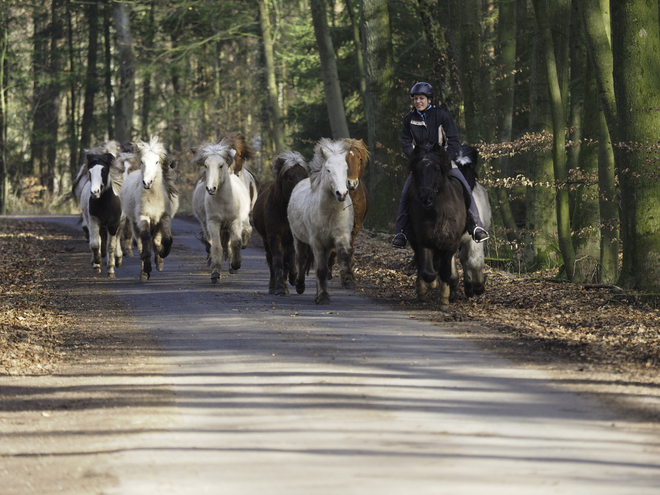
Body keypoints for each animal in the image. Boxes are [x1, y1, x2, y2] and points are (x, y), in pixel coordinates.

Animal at [120, 138, 178, 280]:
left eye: (156, 161)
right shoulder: (143, 217)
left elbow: (167, 239)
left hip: (156, 224)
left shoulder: (164, 217)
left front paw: (162, 254)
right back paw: (144, 272)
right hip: (135, 223)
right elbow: (145, 240)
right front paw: (146, 268)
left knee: (157, 241)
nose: (147, 182)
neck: (153, 197)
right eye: (142, 161)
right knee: (142, 242)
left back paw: (159, 262)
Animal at [192, 140, 254, 286]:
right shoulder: (213, 223)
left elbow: (236, 243)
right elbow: (216, 246)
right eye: (206, 165)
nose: (211, 188)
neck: (224, 200)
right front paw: (215, 273)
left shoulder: (235, 222)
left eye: (221, 165)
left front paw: (236, 264)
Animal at [253, 150, 310, 294]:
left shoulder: (292, 238)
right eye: (290, 177)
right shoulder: (274, 236)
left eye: (305, 176)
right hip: (266, 240)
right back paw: (273, 286)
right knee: (271, 259)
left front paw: (294, 280)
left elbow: (291, 259)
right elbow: (278, 260)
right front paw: (279, 288)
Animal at [286, 138, 354, 304]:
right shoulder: (317, 242)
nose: (341, 194)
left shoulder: (340, 236)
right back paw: (301, 286)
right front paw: (323, 297)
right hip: (298, 239)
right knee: (302, 259)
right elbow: (321, 269)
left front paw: (348, 281)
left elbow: (343, 256)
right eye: (328, 170)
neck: (330, 213)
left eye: (346, 169)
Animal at [404, 141, 466, 306]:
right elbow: (428, 272)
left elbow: (445, 271)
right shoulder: (423, 241)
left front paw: (444, 298)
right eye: (417, 170)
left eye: (437, 169)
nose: (426, 198)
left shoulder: (450, 244)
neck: (436, 213)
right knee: (422, 265)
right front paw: (431, 286)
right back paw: (422, 290)